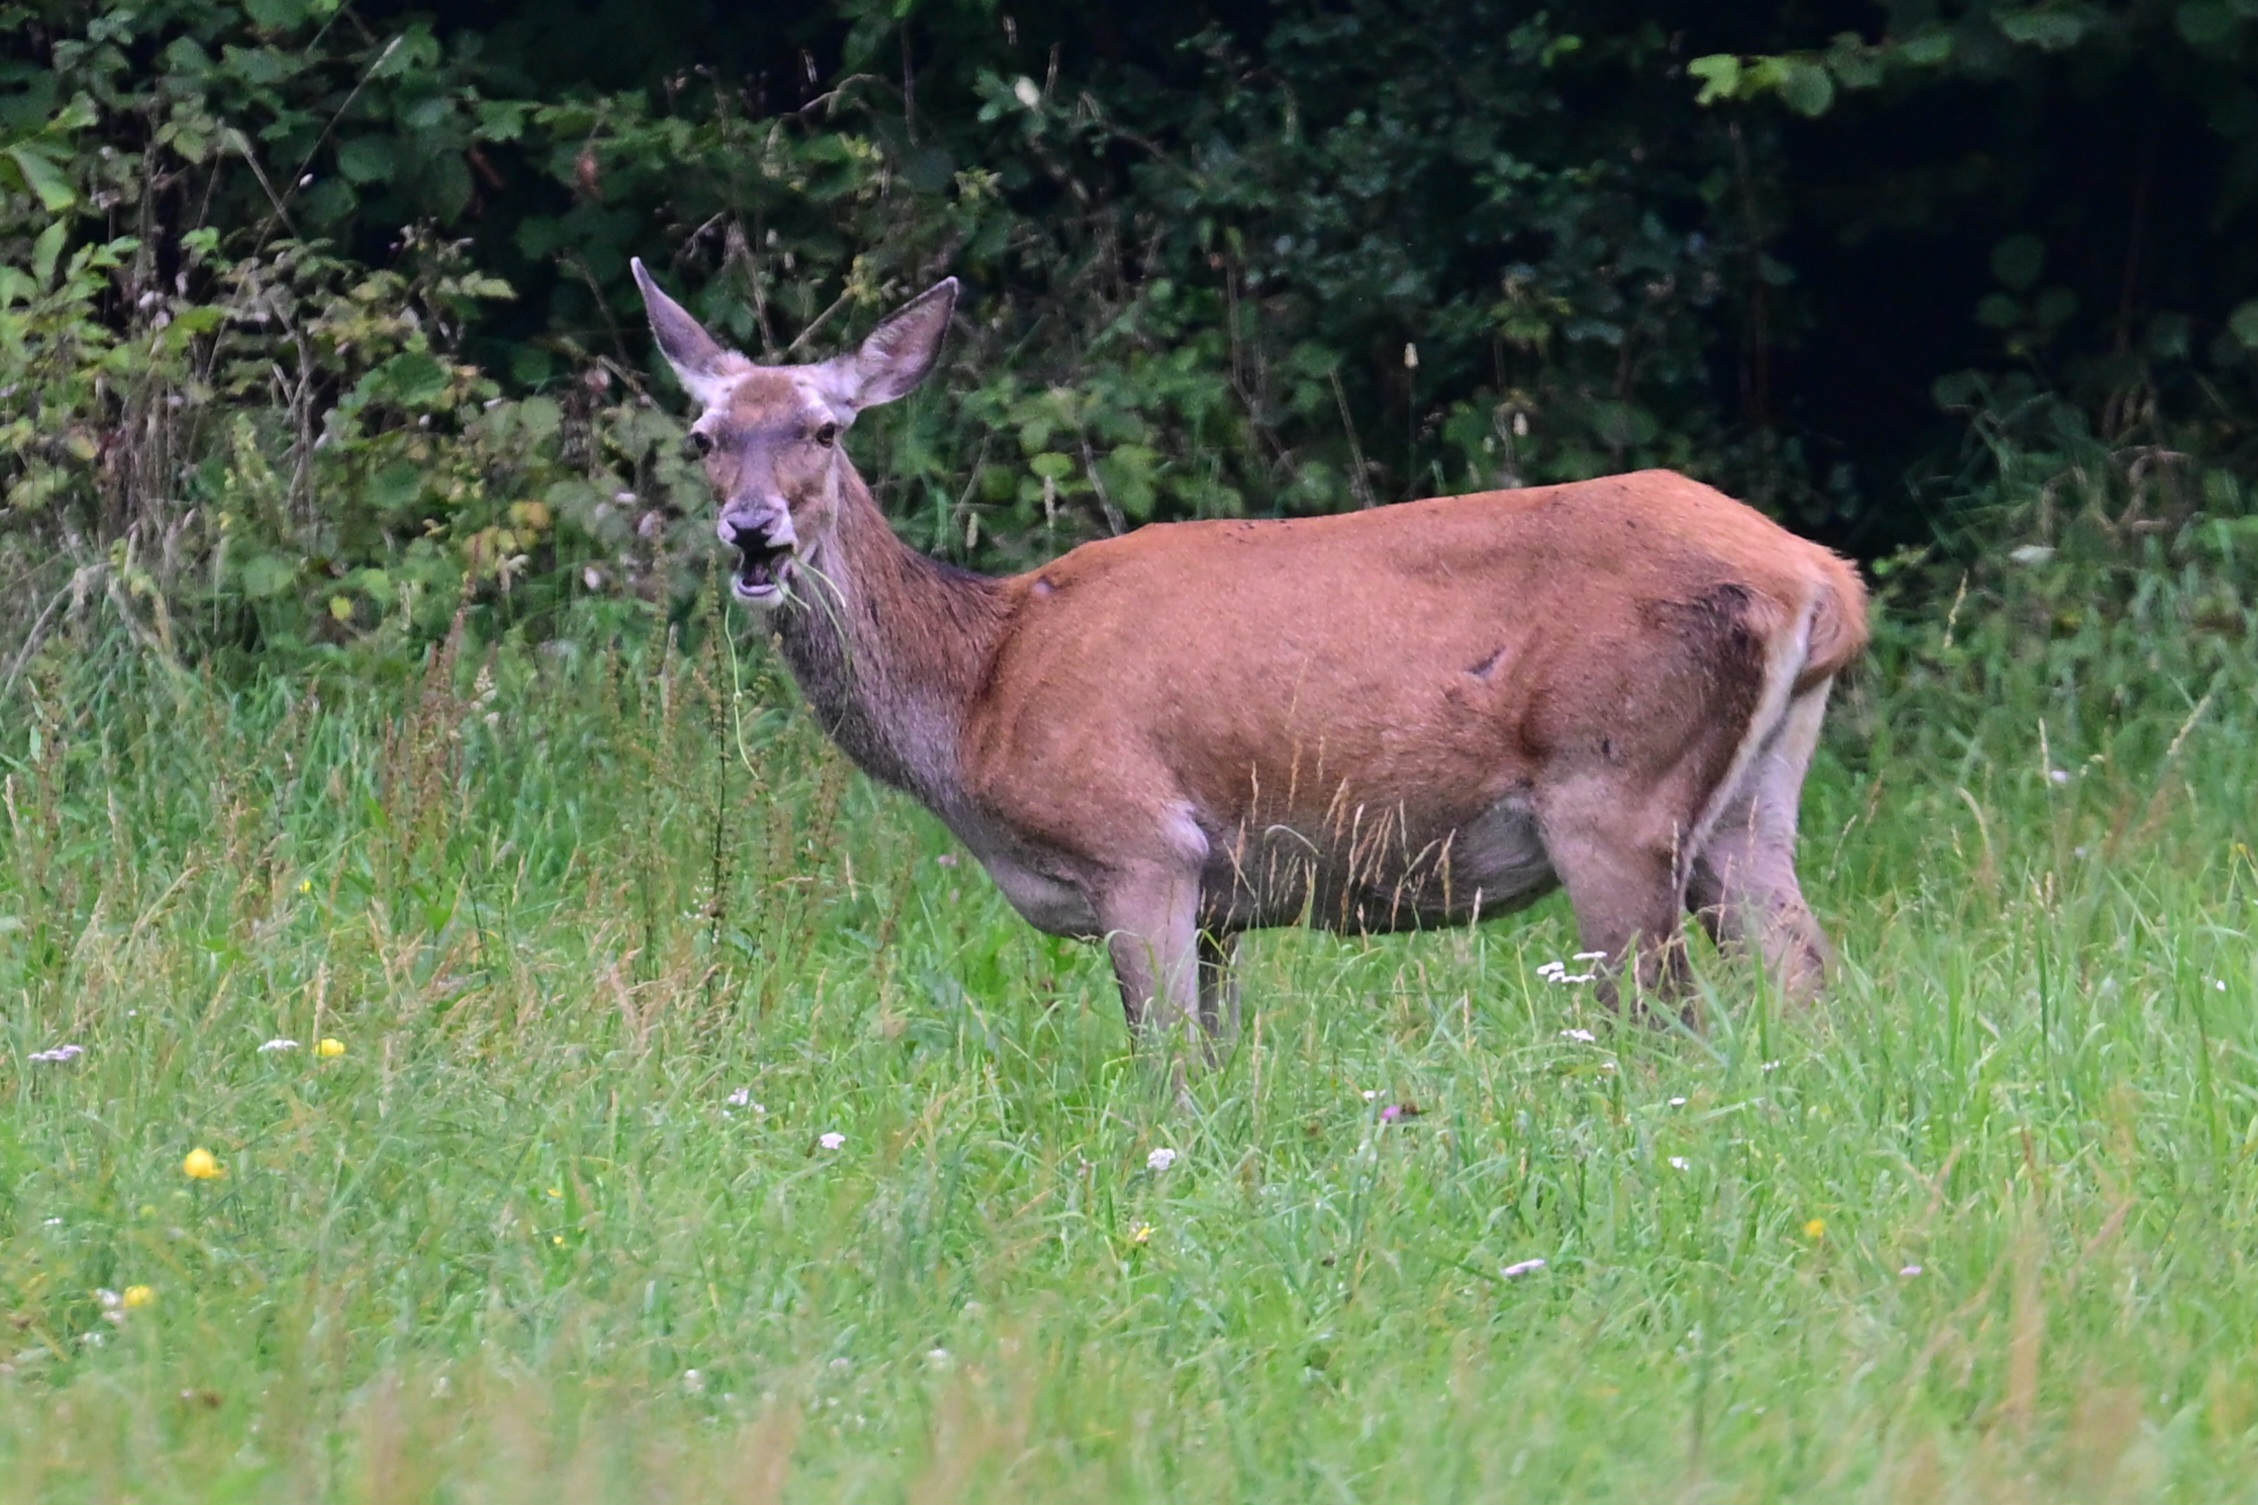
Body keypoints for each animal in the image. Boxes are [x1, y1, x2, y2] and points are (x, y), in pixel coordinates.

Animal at [632, 259, 1869, 1049]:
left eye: (824, 429)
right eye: (702, 437)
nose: (752, 531)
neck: (978, 688)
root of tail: (1820, 576)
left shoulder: (1138, 842)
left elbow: (1165, 1066)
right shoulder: (1220, 903)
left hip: (1611, 784)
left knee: (1668, 1019)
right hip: (1749, 801)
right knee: (1807, 979)